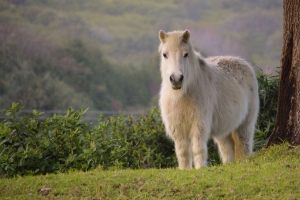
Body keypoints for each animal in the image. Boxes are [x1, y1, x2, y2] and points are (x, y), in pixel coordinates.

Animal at [158, 30, 258, 170]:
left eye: (185, 54)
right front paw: (184, 169)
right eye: (165, 54)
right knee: (227, 150)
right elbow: (182, 152)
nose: (176, 79)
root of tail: (245, 64)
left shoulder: (199, 124)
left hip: (245, 125)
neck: (182, 95)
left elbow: (197, 148)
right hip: (224, 131)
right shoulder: (177, 128)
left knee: (244, 145)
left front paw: (200, 168)